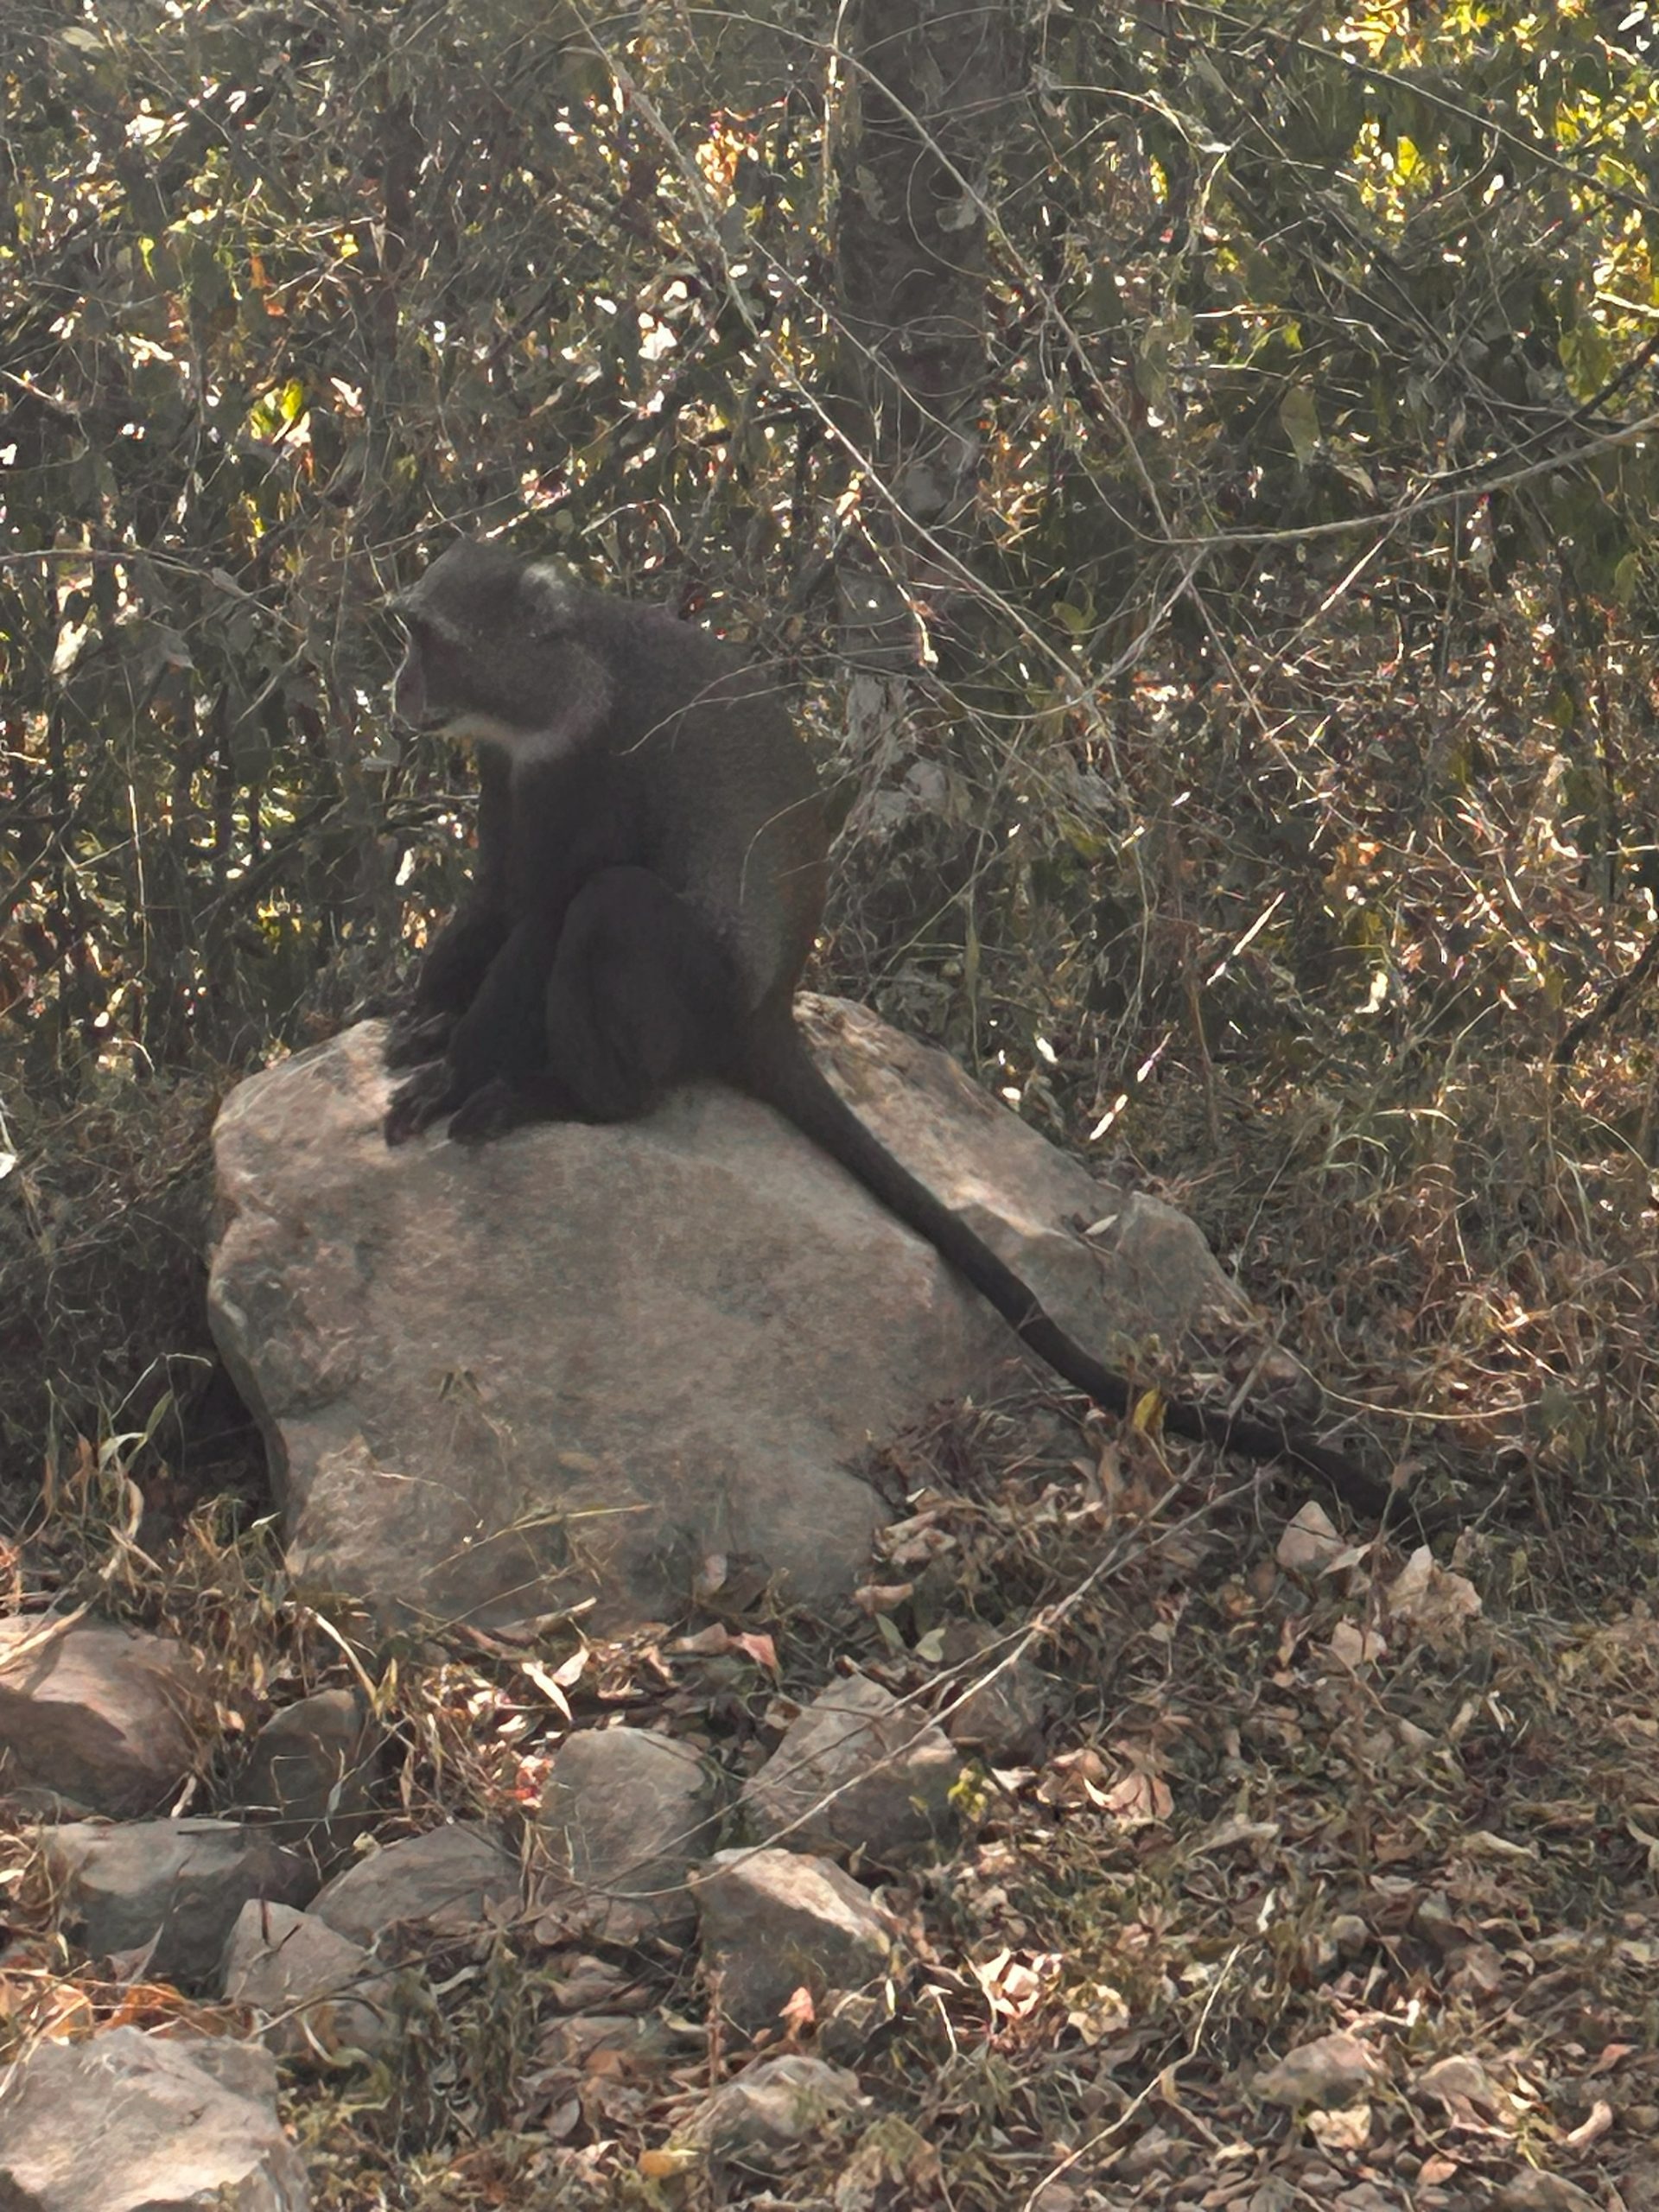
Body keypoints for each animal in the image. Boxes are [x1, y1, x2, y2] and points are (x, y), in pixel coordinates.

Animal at [380, 539, 1406, 1528]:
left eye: (429, 641)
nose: (400, 690)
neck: (563, 679)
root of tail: (768, 1008)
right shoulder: (511, 772)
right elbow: (499, 894)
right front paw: (423, 1020)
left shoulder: (593, 762)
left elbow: (550, 910)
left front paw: (457, 1069)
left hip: (696, 993)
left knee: (613, 910)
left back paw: (566, 1096)